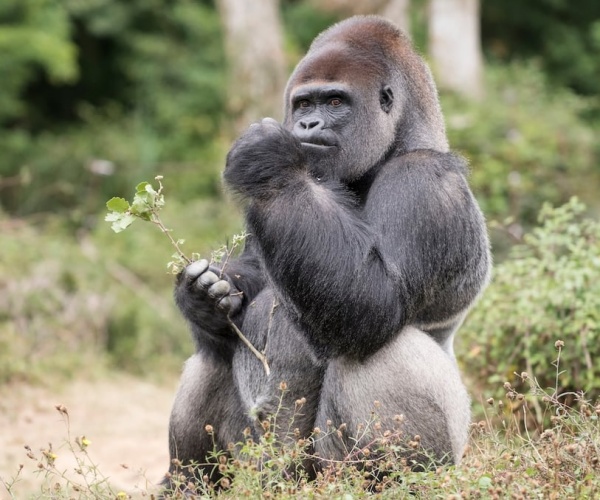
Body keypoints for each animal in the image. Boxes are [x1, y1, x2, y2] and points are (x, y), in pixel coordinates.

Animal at [163, 15, 488, 488]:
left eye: (335, 101)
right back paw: (186, 484)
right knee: (211, 358)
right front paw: (203, 296)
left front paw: (269, 160)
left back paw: (392, 480)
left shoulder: (423, 183)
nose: (308, 126)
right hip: (262, 469)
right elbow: (259, 268)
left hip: (333, 470)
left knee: (375, 350)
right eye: (303, 104)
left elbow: (375, 304)